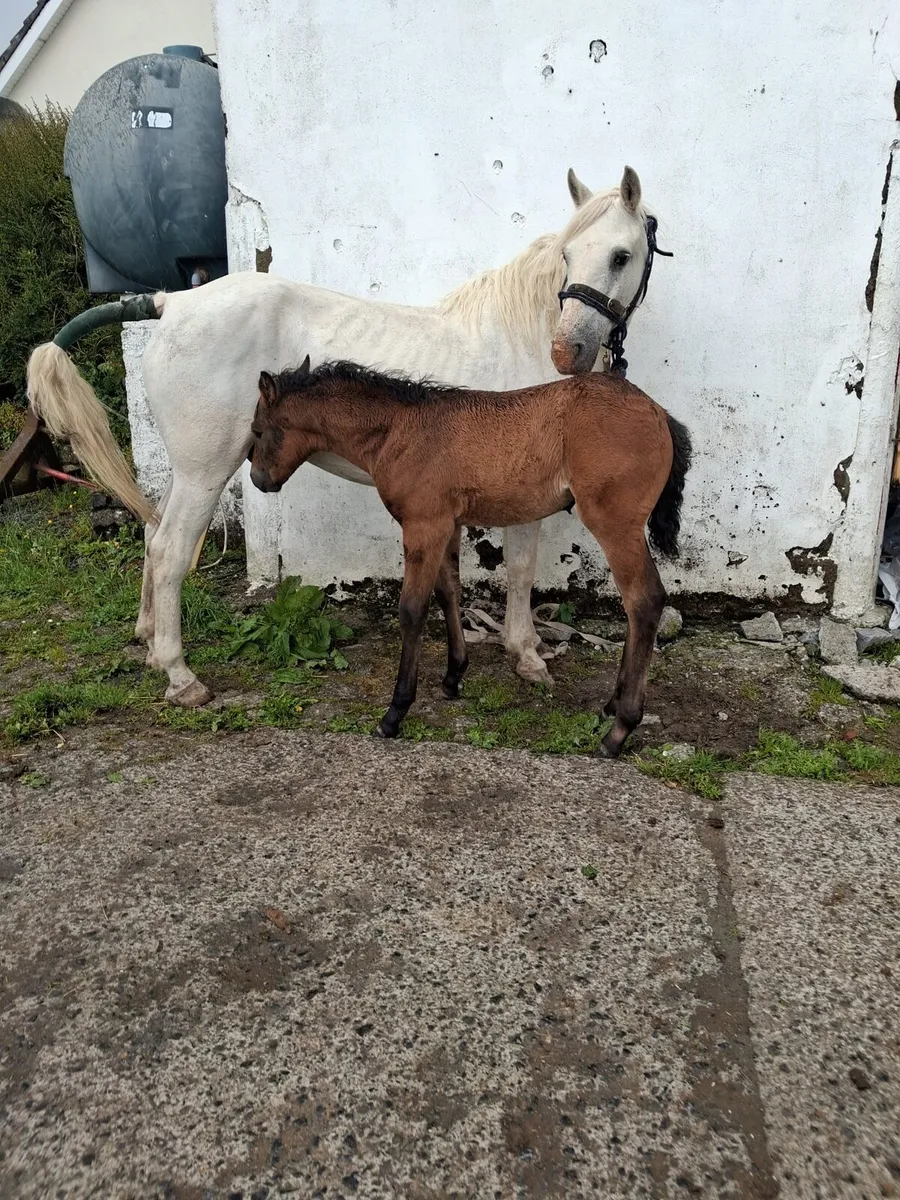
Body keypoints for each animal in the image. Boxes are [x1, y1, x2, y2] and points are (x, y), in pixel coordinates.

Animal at [26, 166, 670, 707]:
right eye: (568, 254)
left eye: (622, 255)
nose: (569, 351)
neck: (520, 336)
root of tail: (172, 302)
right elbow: (521, 569)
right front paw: (528, 655)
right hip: (205, 470)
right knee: (169, 553)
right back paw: (181, 676)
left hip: (185, 470)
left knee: (152, 533)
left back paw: (148, 642)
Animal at [248, 358, 692, 759]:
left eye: (257, 430)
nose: (257, 480)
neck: (399, 429)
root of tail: (659, 413)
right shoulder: (448, 524)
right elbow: (449, 593)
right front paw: (453, 676)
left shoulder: (423, 524)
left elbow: (412, 609)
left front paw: (395, 713)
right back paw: (611, 706)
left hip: (615, 523)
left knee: (644, 601)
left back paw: (619, 730)